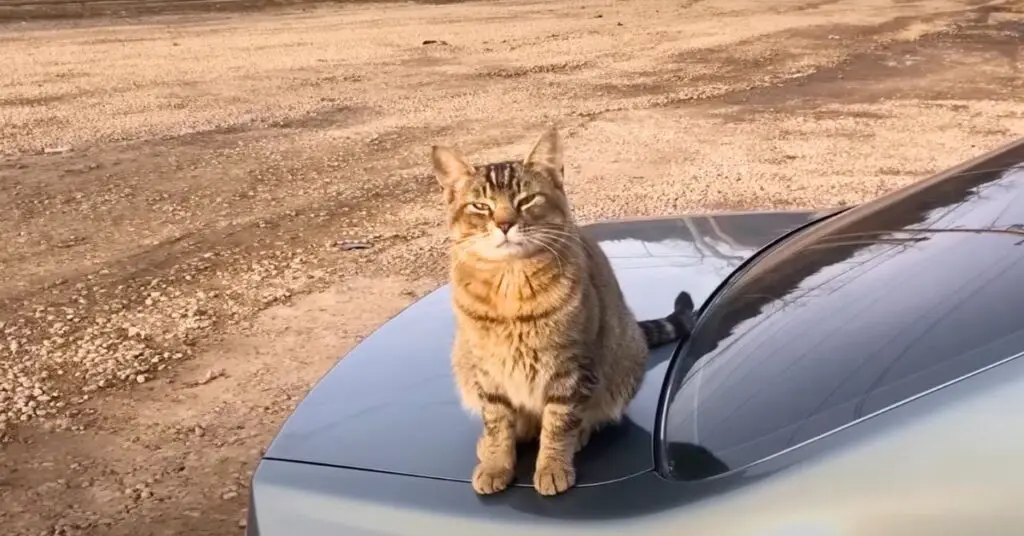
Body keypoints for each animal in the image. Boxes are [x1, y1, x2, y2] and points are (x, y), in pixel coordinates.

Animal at [428, 128, 700, 498]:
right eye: (481, 206)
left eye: (526, 200)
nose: (505, 224)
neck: (510, 286)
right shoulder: (488, 372)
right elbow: (497, 421)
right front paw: (497, 462)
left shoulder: (570, 369)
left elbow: (559, 424)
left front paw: (552, 465)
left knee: (589, 416)